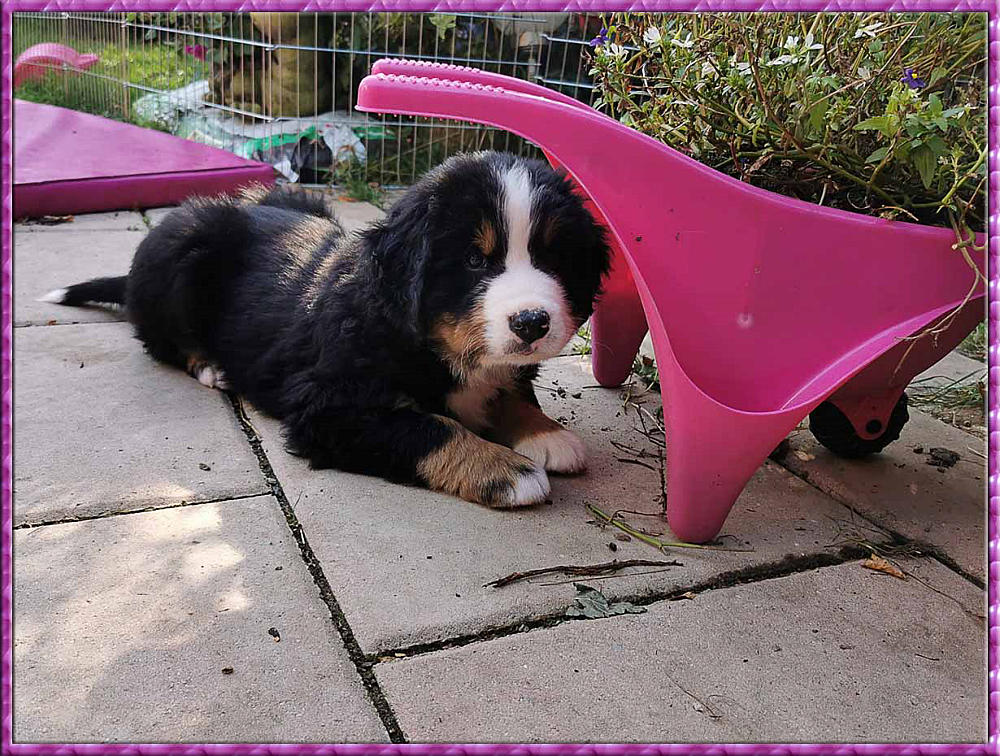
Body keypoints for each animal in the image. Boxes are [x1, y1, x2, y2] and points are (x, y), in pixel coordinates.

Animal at [42, 151, 611, 508]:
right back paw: (211, 367)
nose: (533, 322)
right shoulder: (330, 407)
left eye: (553, 258)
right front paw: (506, 471)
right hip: (184, 249)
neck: (425, 337)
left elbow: (506, 394)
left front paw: (546, 434)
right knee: (162, 340)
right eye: (474, 260)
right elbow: (429, 426)